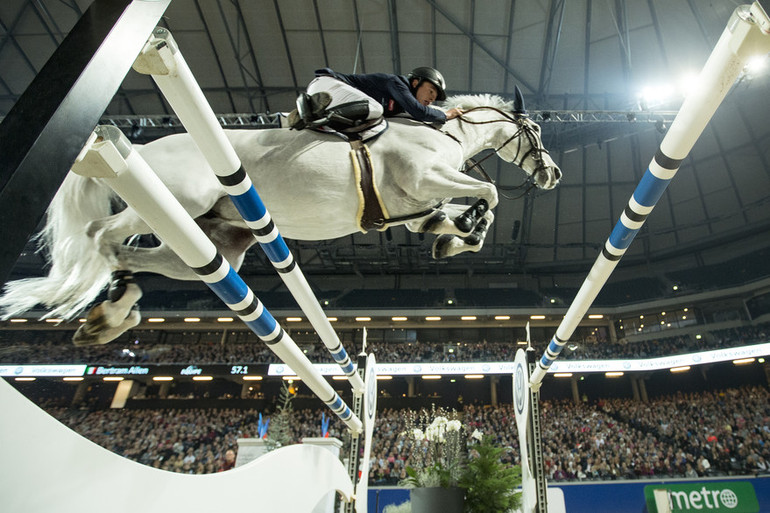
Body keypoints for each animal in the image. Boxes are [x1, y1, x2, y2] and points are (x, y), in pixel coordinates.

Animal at [0, 93, 560, 344]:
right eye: (533, 130)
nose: (553, 174)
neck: (439, 130)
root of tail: (139, 146)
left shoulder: (415, 206)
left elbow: (452, 220)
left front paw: (456, 238)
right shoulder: (426, 178)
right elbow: (489, 192)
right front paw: (468, 227)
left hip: (220, 242)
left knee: (140, 257)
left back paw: (112, 313)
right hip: (169, 202)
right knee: (101, 236)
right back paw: (112, 311)